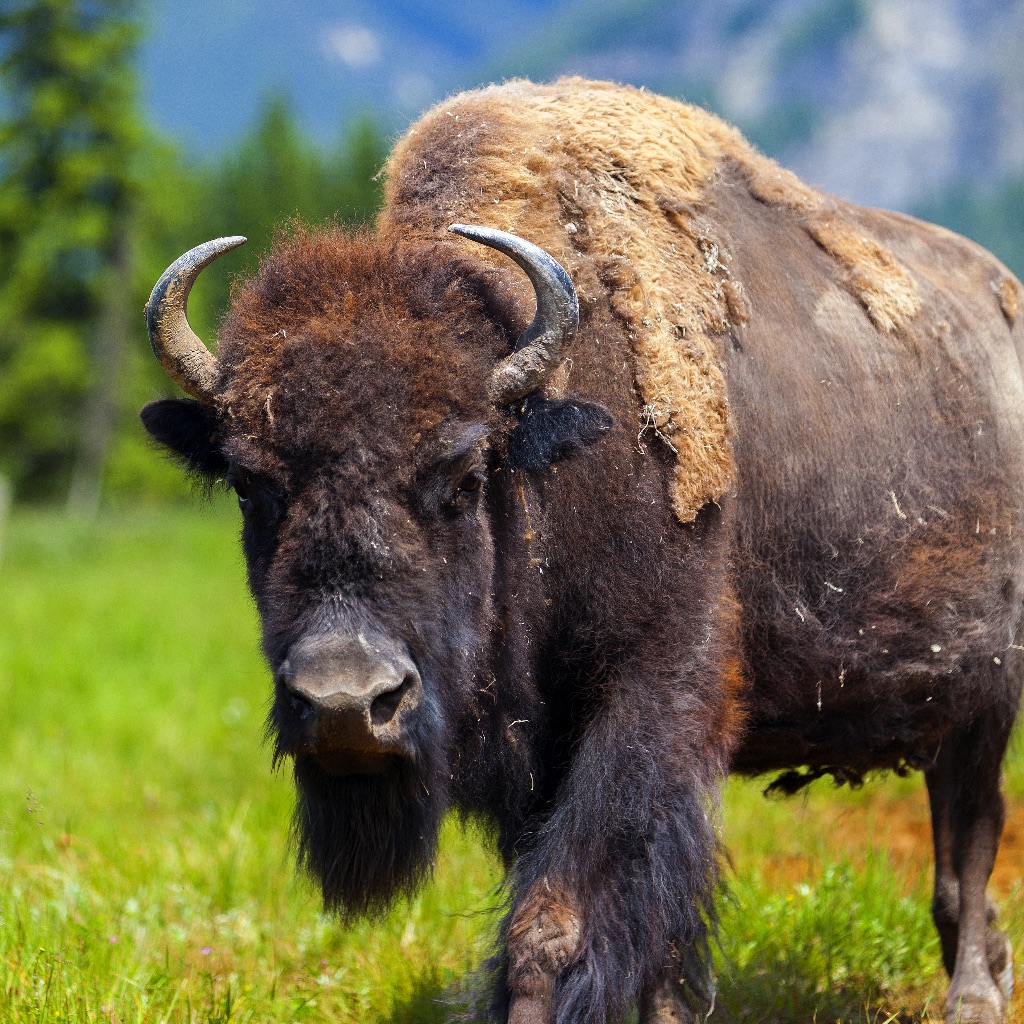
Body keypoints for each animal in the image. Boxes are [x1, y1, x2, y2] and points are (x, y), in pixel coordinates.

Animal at [141, 79, 1022, 1024]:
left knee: (971, 838)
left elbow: (557, 917)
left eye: (463, 476)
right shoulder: (541, 751)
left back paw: (974, 996)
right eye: (249, 485)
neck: (543, 458)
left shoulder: (649, 701)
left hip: (990, 693)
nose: (346, 704)